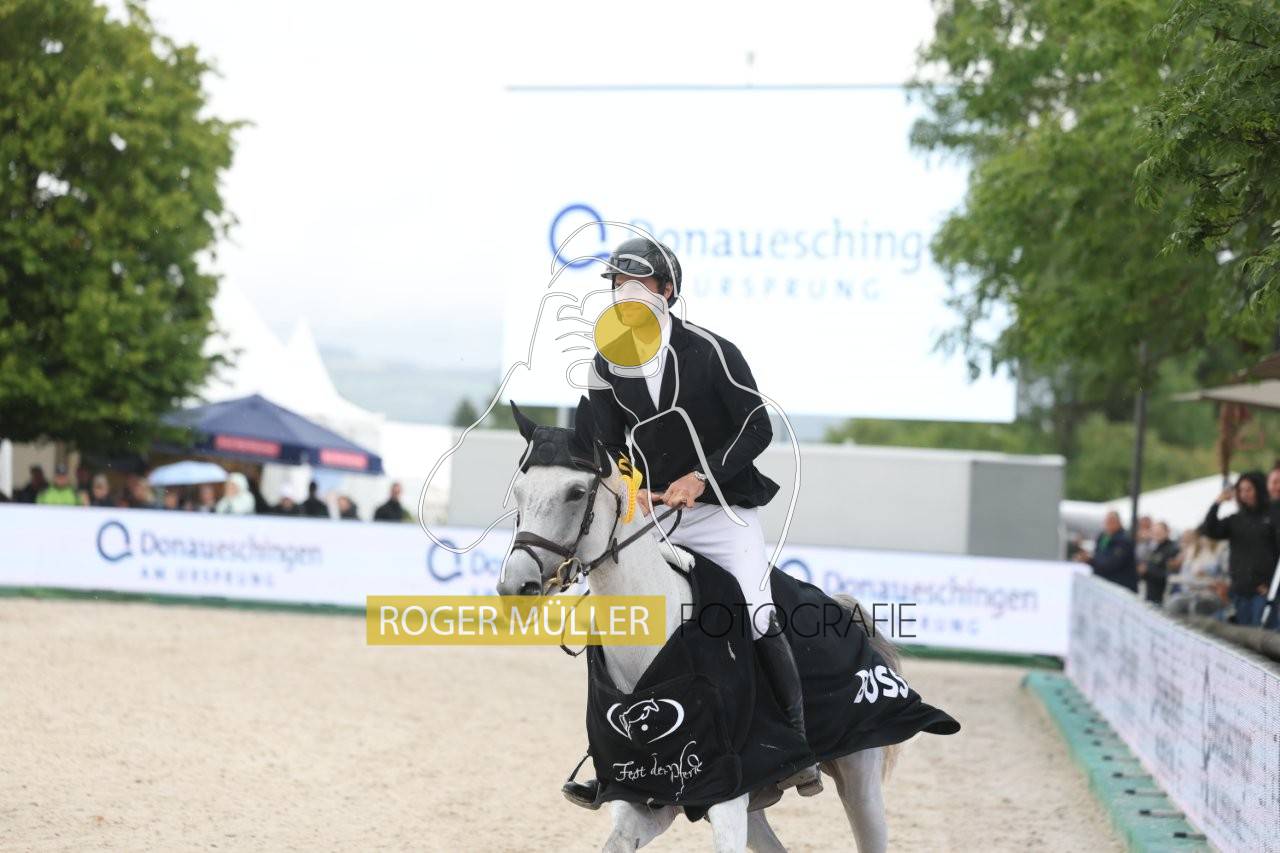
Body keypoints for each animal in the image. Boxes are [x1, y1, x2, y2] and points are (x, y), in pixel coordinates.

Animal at [497, 439, 900, 852]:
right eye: (519, 493)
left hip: (860, 780)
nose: (516, 584)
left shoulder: (725, 793)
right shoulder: (650, 798)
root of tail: (841, 607)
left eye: (576, 492)